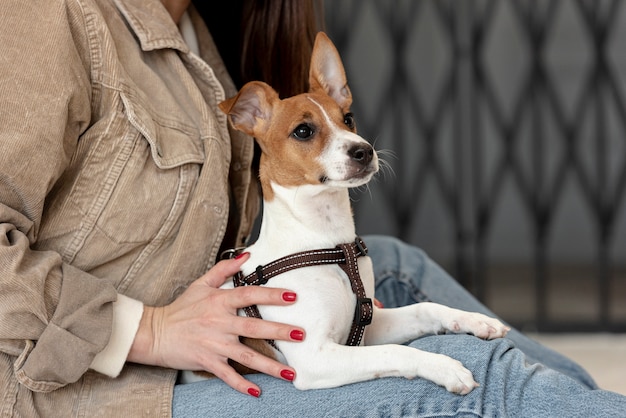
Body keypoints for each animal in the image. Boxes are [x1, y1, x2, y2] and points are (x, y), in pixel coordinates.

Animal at [189, 31, 508, 392]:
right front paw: (443, 366)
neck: (330, 243)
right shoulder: (315, 358)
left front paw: (474, 320)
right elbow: (393, 351)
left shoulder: (370, 322)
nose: (364, 150)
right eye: (303, 131)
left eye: (348, 119)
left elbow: (424, 309)